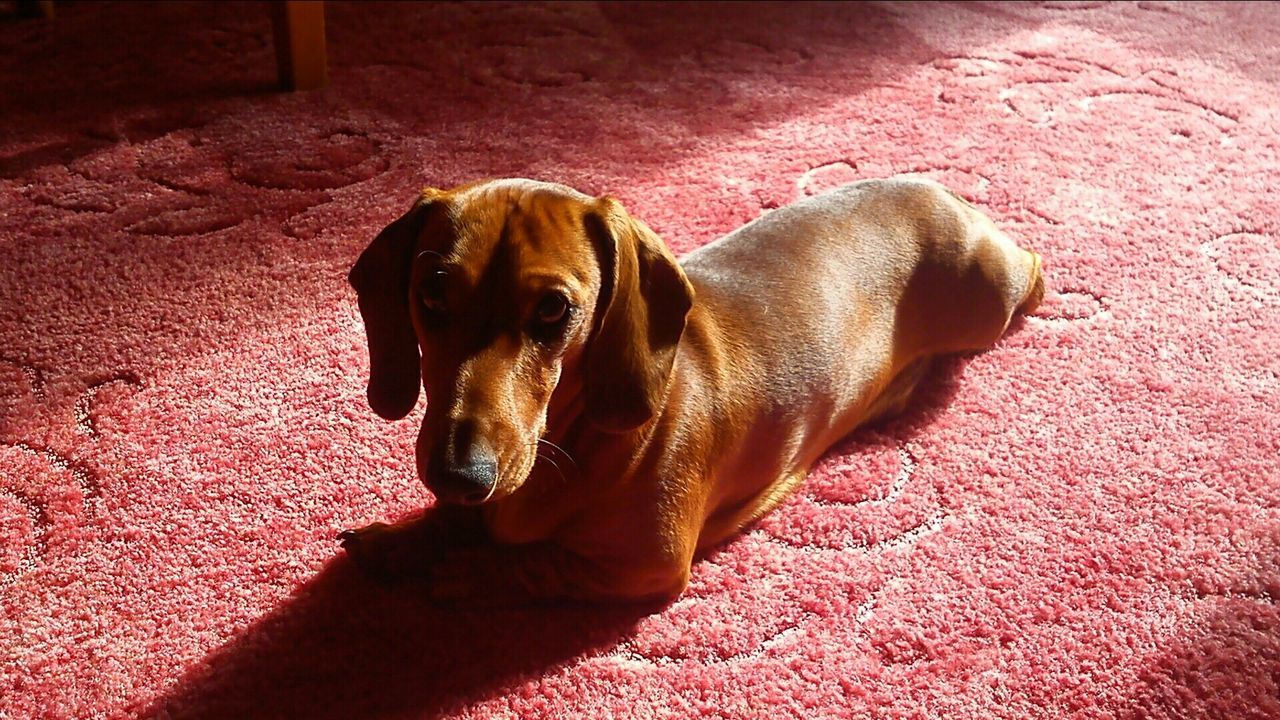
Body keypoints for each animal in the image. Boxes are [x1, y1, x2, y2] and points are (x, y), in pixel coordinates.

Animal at [337, 175, 1039, 599]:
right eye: (430, 294)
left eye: (554, 310)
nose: (459, 475)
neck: (579, 441)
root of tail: (939, 190)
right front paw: (401, 540)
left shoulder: (645, 568)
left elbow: (525, 564)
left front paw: (456, 570)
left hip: (989, 300)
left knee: (1033, 268)